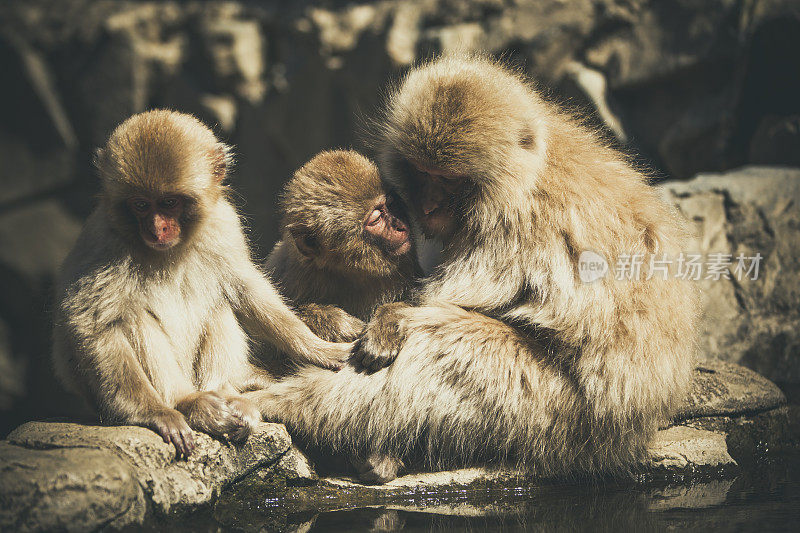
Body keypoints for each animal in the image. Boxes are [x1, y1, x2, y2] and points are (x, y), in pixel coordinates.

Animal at [53, 109, 354, 458]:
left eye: (169, 203)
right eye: (141, 204)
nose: (156, 229)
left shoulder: (223, 221)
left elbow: (245, 290)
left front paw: (317, 349)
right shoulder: (103, 240)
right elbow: (93, 326)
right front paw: (156, 414)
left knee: (219, 303)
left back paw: (223, 392)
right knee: (133, 317)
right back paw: (186, 403)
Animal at [247, 57, 696, 482]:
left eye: (448, 179)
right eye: (422, 172)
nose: (427, 208)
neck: (524, 172)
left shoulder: (514, 223)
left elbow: (443, 302)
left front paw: (389, 318)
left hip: (553, 413)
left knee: (443, 341)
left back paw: (276, 403)